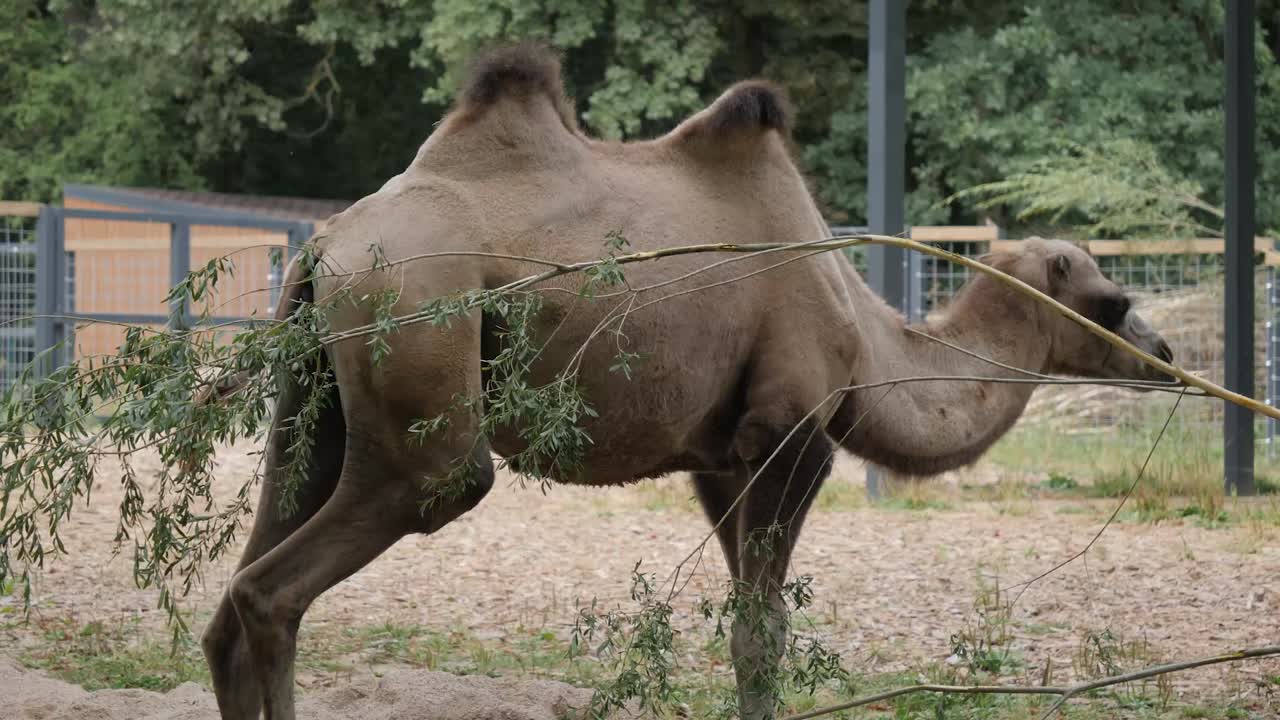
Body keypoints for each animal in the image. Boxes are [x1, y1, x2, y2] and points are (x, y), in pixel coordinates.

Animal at [200, 44, 1174, 720]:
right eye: (1115, 299)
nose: (1165, 350)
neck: (866, 344)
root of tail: (326, 245)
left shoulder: (720, 458)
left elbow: (749, 623)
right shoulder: (792, 432)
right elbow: (761, 633)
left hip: (318, 390)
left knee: (235, 596)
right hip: (419, 340)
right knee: (289, 580)